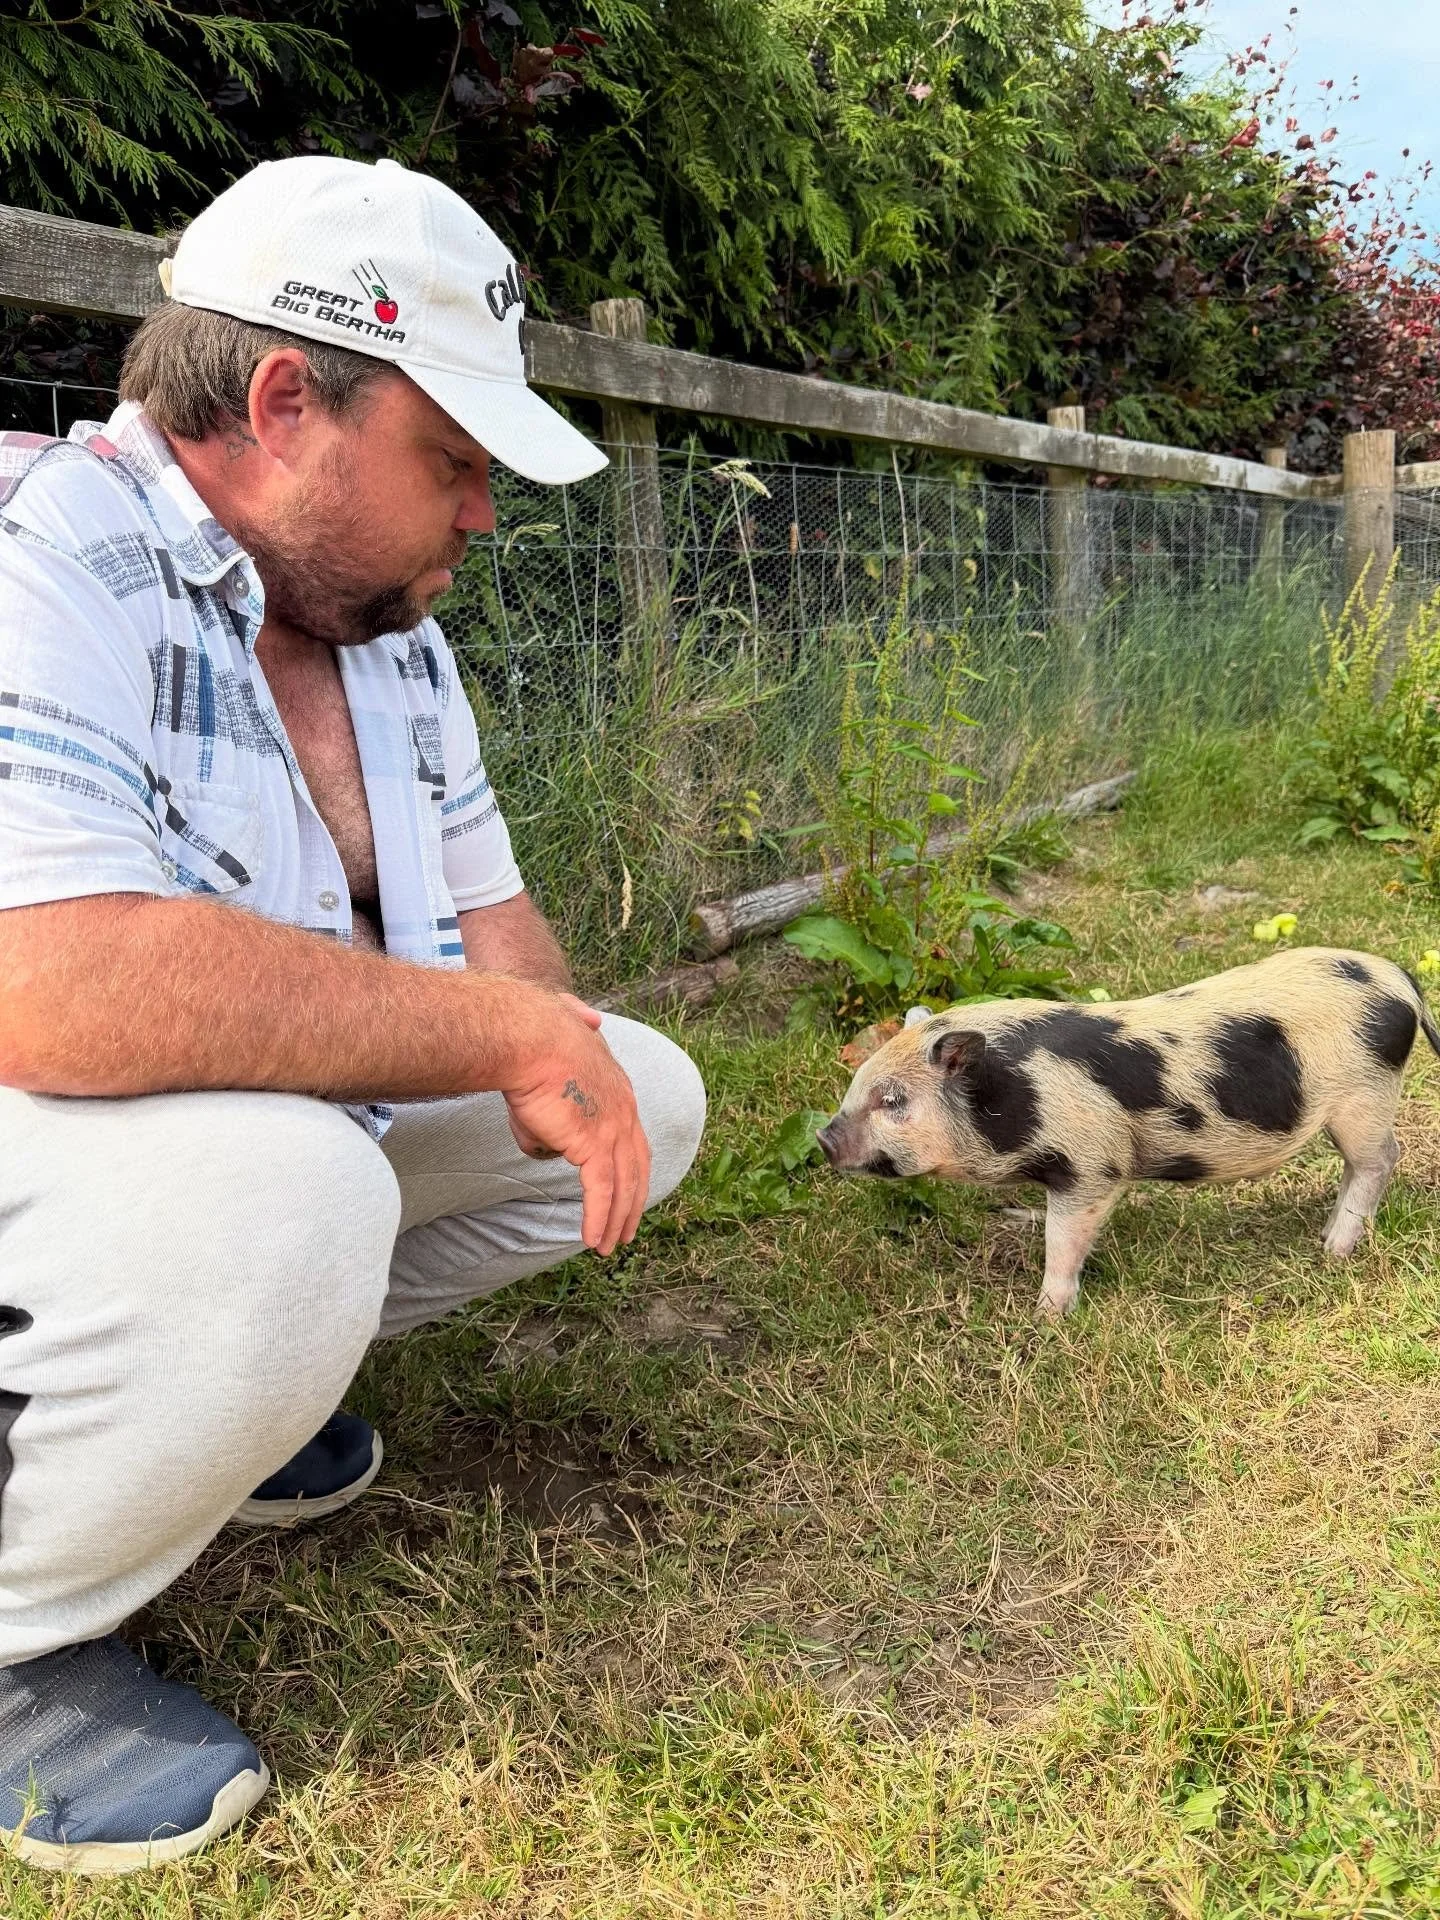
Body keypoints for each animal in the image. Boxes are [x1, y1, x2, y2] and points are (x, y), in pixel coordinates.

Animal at [817, 947, 1440, 1318]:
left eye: (894, 1102)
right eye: (858, 1083)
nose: (823, 1139)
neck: (1017, 1095)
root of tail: (1401, 980)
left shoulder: (1094, 1163)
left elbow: (1065, 1239)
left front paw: (1045, 1317)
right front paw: (1018, 1221)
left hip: (1365, 1097)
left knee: (1382, 1157)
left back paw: (1333, 1251)